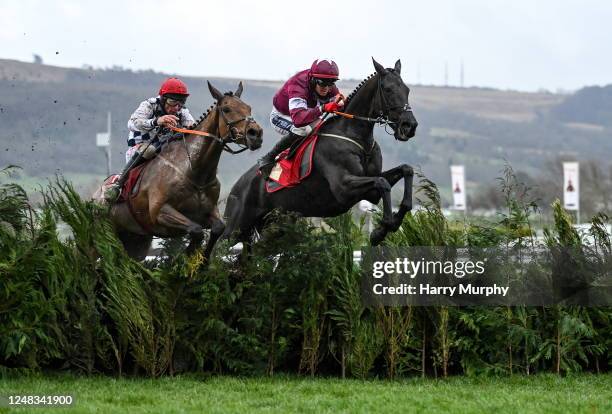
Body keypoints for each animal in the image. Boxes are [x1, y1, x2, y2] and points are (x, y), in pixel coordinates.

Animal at [92, 82, 262, 260]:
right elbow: (196, 231)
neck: (195, 171)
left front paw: (201, 261)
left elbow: (217, 228)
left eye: (248, 108)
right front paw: (184, 259)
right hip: (100, 237)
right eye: (227, 109)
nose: (255, 133)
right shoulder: (160, 212)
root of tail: (96, 195)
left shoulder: (209, 211)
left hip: (136, 240)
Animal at [222, 58, 418, 249]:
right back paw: (265, 162)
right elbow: (382, 182)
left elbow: (405, 170)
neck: (356, 137)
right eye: (388, 89)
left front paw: (392, 223)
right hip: (235, 228)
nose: (410, 126)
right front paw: (381, 230)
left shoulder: (369, 190)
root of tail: (236, 187)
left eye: (407, 89)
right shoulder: (343, 188)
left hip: (273, 227)